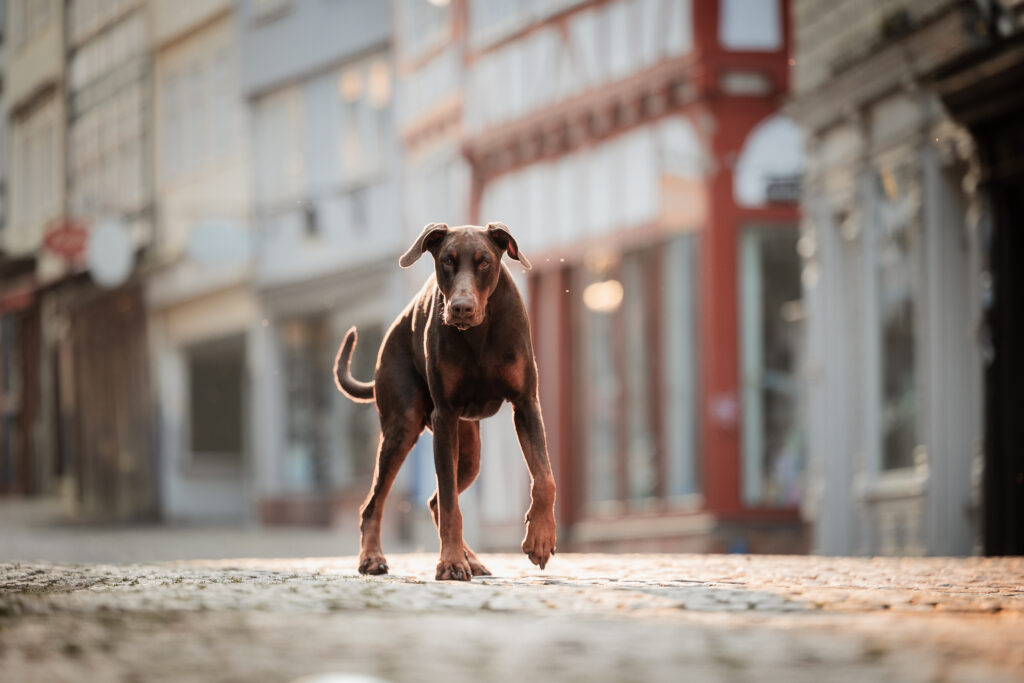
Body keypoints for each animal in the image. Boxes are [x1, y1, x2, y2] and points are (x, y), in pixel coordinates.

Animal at [333, 222, 557, 581]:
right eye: (447, 261)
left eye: (484, 262)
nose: (461, 308)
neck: (479, 332)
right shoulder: (446, 416)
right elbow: (452, 504)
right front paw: (450, 562)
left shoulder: (526, 404)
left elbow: (545, 478)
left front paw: (540, 538)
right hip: (404, 426)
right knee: (375, 504)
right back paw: (373, 558)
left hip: (470, 453)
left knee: (435, 500)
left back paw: (472, 559)